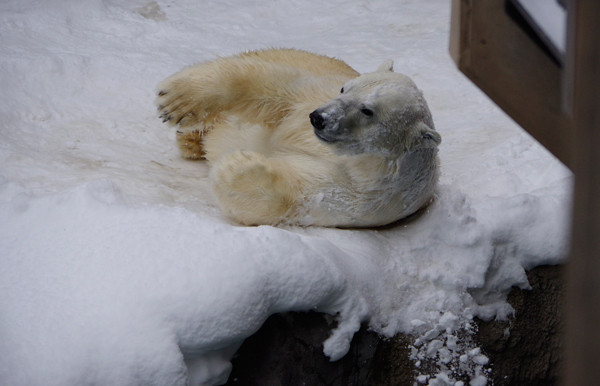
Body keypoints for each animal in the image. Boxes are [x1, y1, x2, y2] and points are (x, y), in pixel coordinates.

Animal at [157, 49, 440, 228]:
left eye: (367, 110)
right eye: (345, 89)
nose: (319, 118)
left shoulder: (367, 192)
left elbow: (299, 195)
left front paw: (236, 166)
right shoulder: (311, 97)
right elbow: (273, 89)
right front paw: (175, 101)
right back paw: (191, 136)